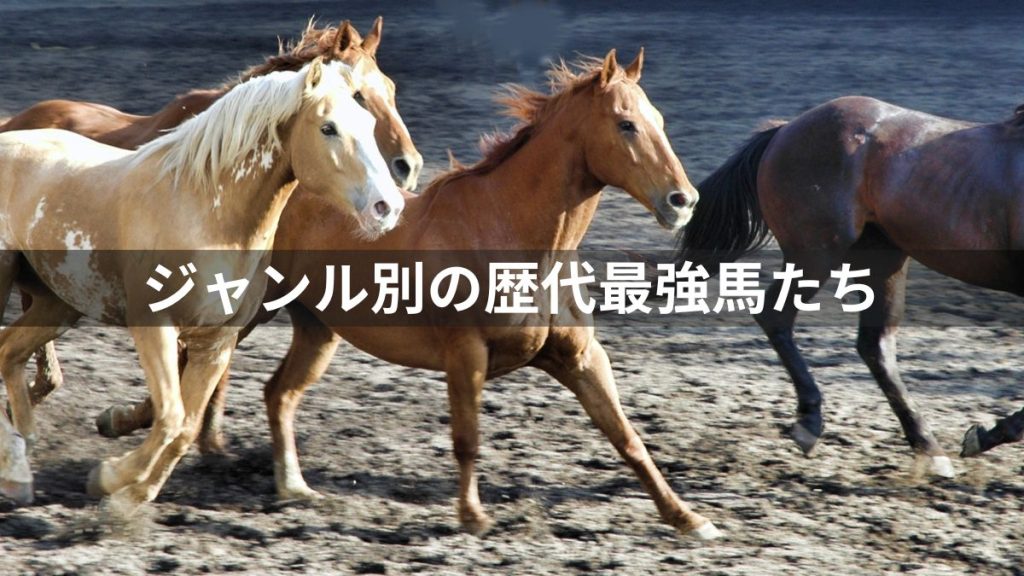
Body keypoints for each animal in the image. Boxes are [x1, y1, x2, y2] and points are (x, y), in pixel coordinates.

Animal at [0, 58, 405, 511]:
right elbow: (171, 417)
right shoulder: (155, 327)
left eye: (368, 122)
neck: (204, 211)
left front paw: (132, 493)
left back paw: (19, 467)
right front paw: (109, 477)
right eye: (328, 127)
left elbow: (186, 427)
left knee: (8, 352)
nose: (387, 207)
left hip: (59, 304)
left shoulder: (216, 341)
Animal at [93, 49, 722, 539]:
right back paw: (120, 431)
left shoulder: (580, 357)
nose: (682, 200)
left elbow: (628, 438)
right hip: (247, 313)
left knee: (276, 393)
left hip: (317, 329)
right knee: (188, 374)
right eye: (625, 124)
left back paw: (292, 487)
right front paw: (472, 516)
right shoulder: (466, 354)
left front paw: (688, 518)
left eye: (658, 118)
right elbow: (467, 439)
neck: (514, 236)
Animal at [676, 95, 1024, 472]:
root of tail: (784, 130)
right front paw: (983, 435)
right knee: (776, 315)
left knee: (875, 345)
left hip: (882, 259)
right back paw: (810, 423)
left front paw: (982, 435)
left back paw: (928, 448)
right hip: (816, 253)